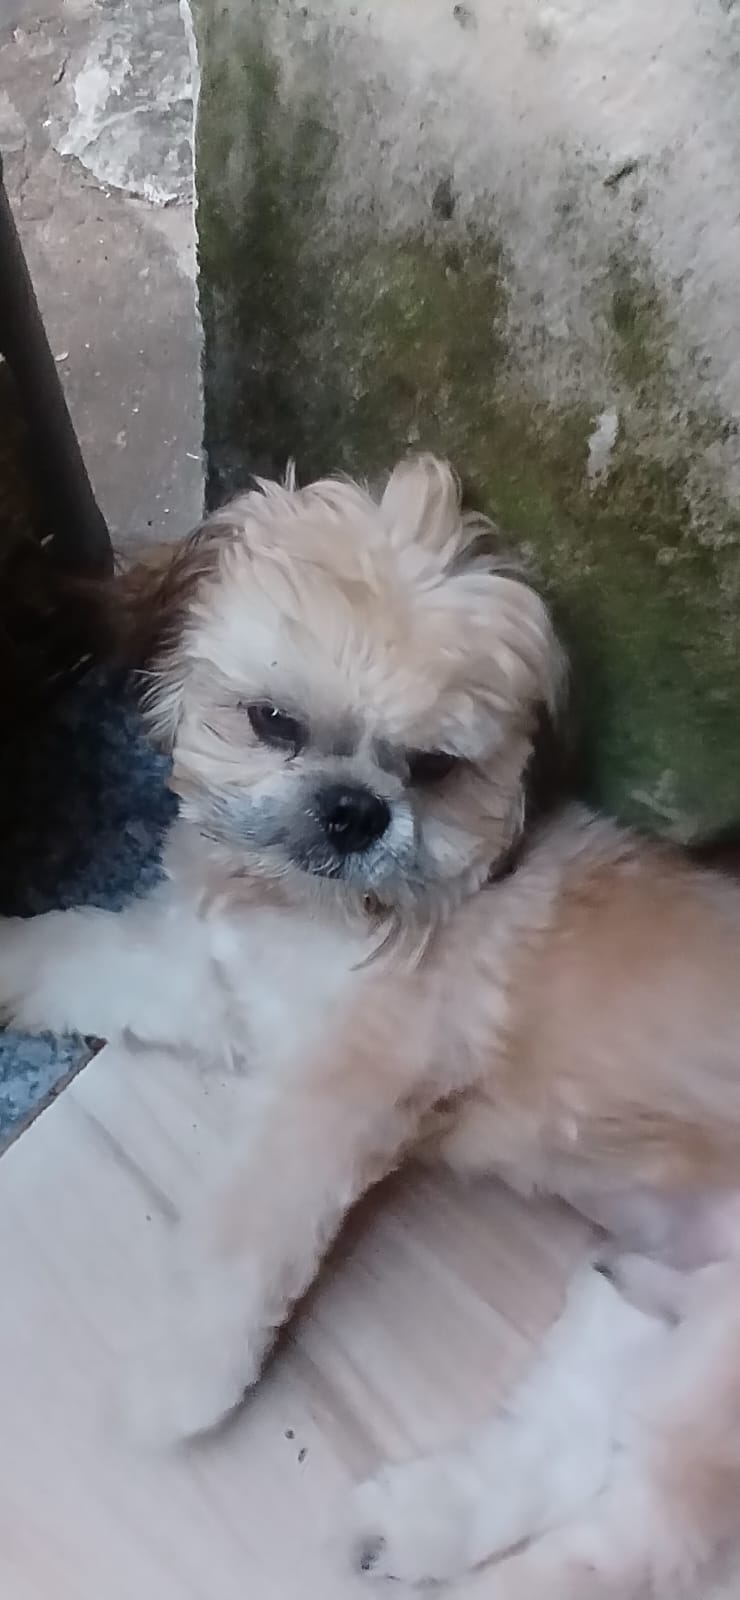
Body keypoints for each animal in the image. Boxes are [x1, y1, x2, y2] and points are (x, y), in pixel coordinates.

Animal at [2, 454, 740, 1595]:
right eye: (273, 721)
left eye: (432, 766)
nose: (354, 809)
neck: (322, 913)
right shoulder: (214, 983)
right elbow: (88, 953)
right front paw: (7, 964)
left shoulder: (328, 1099)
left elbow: (238, 1247)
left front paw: (175, 1381)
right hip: (644, 1298)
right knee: (571, 1435)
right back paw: (417, 1522)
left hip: (717, 1381)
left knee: (635, 1536)